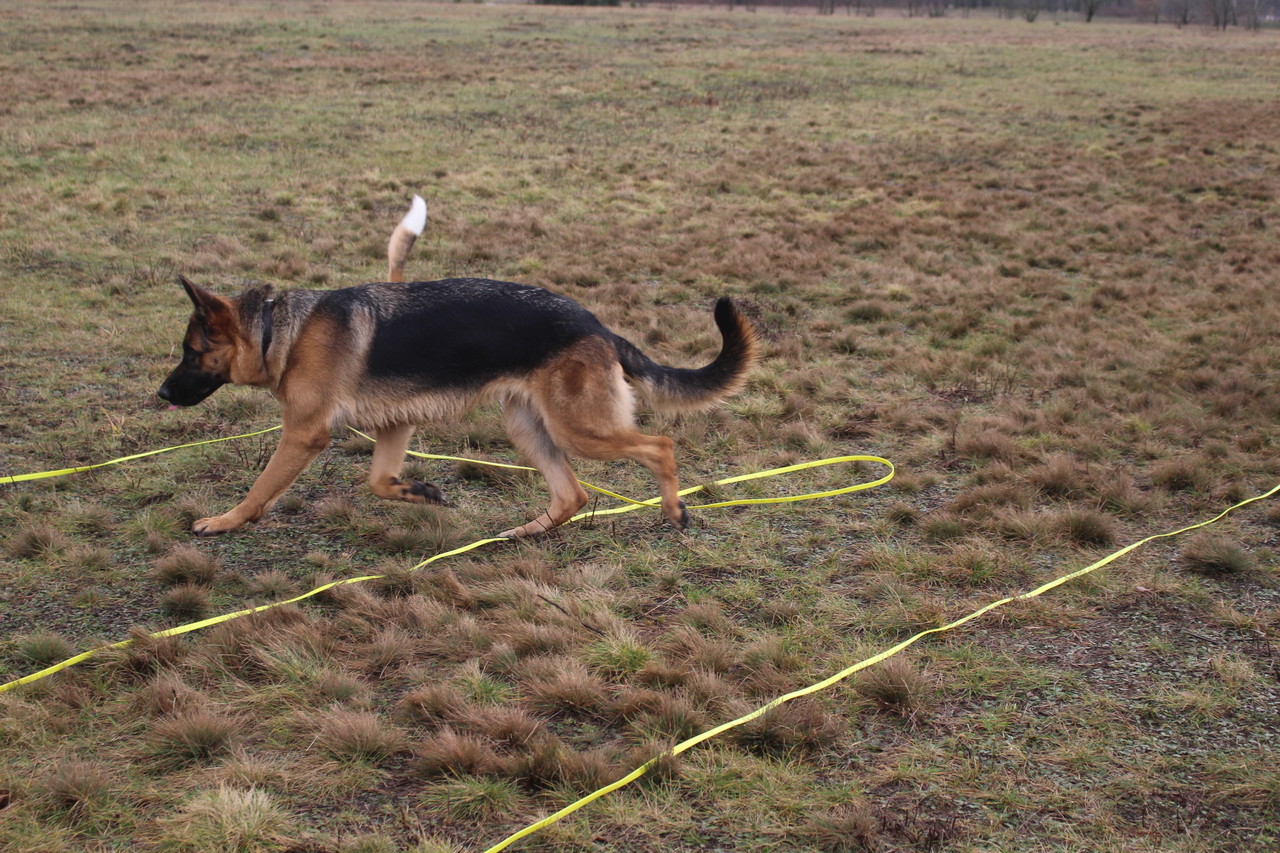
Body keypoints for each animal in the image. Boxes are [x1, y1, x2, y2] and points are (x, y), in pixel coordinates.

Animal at [158, 197, 758, 539]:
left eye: (190, 353)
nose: (161, 395)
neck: (277, 329)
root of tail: (597, 325)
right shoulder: (395, 425)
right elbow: (378, 481)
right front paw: (418, 493)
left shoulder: (304, 435)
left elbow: (260, 489)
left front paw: (224, 522)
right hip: (528, 427)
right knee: (574, 495)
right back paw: (527, 532)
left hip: (578, 428)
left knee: (659, 446)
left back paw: (675, 510)